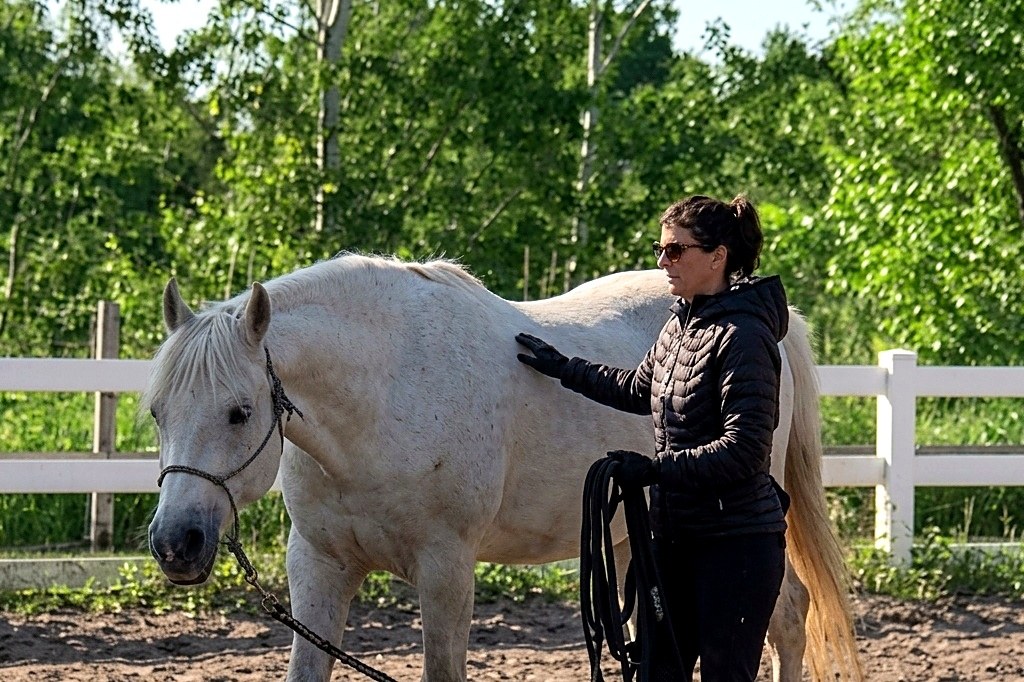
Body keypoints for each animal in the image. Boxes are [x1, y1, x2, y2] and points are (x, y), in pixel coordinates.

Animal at [143, 253, 862, 682]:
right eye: (155, 411)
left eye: (239, 412)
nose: (176, 542)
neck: (384, 396)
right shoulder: (319, 564)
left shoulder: (446, 568)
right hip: (636, 536)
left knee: (785, 616)